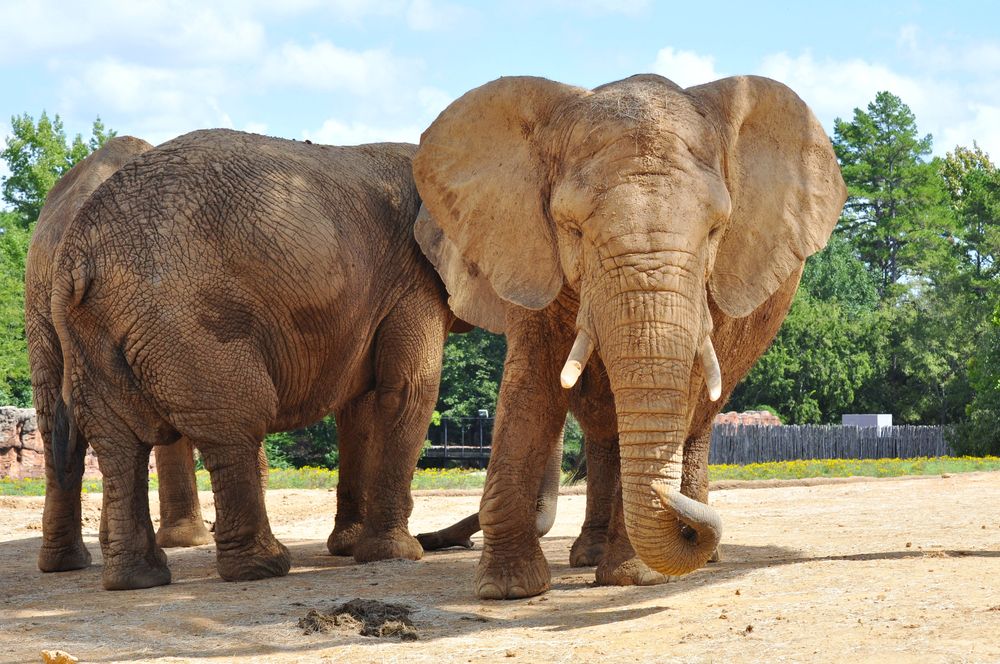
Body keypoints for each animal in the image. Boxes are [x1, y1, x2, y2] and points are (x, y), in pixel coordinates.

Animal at [48, 129, 454, 590]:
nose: (437, 543)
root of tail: (79, 257)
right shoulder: (414, 278)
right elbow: (407, 392)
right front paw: (396, 555)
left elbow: (361, 409)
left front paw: (350, 549)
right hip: (186, 320)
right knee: (235, 421)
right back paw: (263, 568)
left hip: (90, 332)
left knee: (119, 444)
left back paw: (138, 580)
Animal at [411, 74, 846, 599]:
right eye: (573, 229)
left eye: (716, 230)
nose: (673, 512)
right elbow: (531, 385)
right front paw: (509, 590)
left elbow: (683, 387)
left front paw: (633, 576)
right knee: (603, 428)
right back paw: (593, 554)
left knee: (697, 418)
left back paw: (693, 550)